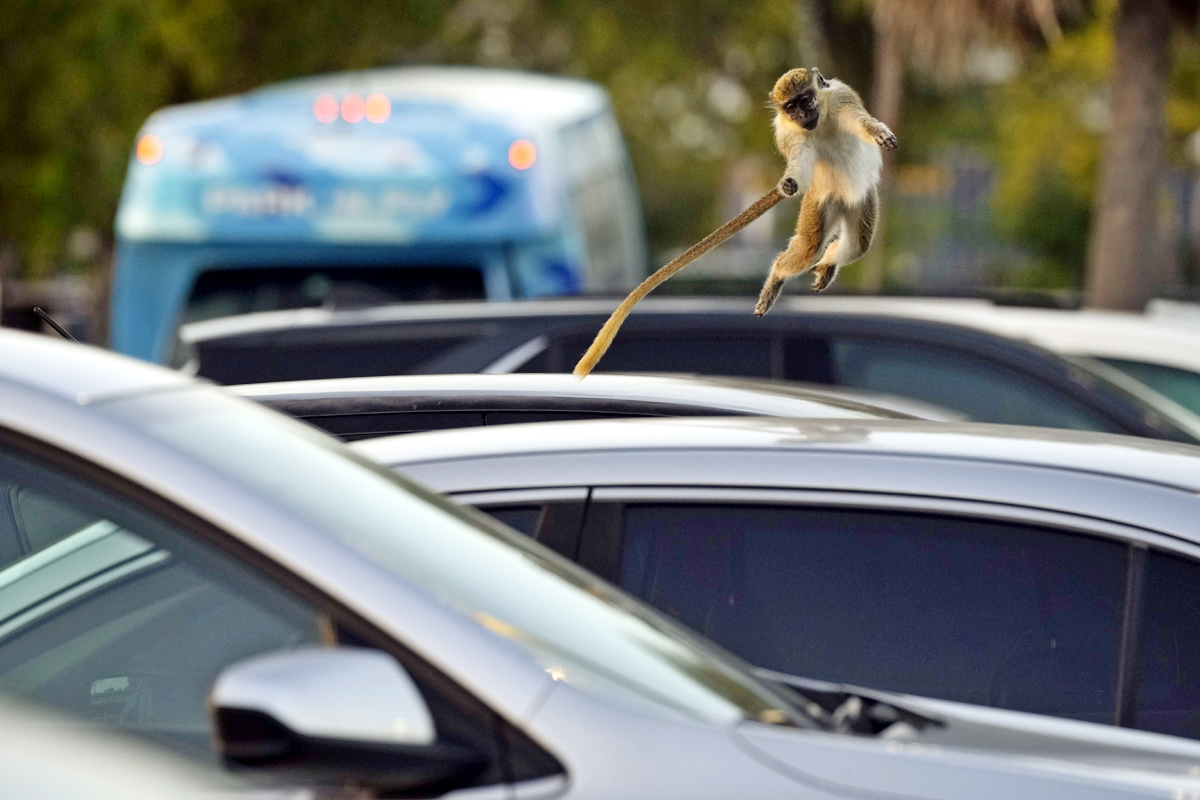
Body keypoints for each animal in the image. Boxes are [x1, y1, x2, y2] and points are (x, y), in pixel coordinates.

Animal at [573, 67, 902, 381]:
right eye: (790, 108)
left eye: (806, 101)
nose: (802, 116)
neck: (819, 122)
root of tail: (841, 197)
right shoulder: (788, 133)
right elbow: (800, 162)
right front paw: (790, 183)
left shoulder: (841, 98)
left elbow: (860, 121)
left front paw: (878, 131)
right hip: (820, 200)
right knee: (812, 246)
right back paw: (781, 273)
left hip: (859, 199)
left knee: (858, 243)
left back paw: (829, 261)